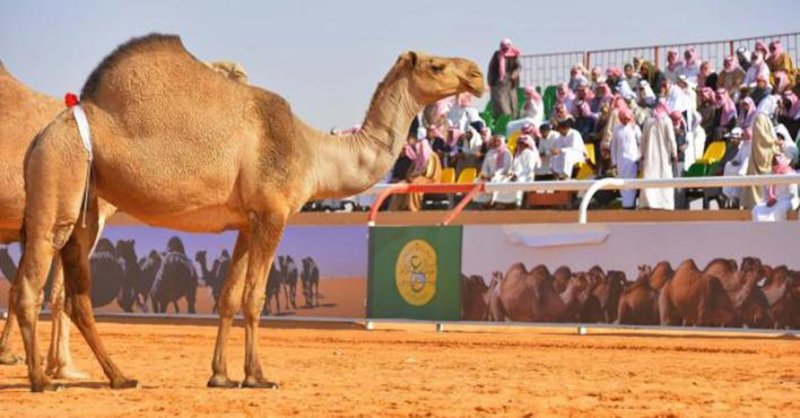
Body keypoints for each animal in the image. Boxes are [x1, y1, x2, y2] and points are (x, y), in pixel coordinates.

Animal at [12, 33, 484, 392]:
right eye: (437, 66)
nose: (477, 74)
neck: (313, 153)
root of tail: (38, 138)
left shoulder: (245, 222)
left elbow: (228, 296)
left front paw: (219, 376)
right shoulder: (273, 214)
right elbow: (255, 298)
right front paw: (257, 375)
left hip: (87, 207)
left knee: (74, 296)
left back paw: (119, 377)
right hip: (60, 183)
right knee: (30, 286)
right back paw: (42, 380)